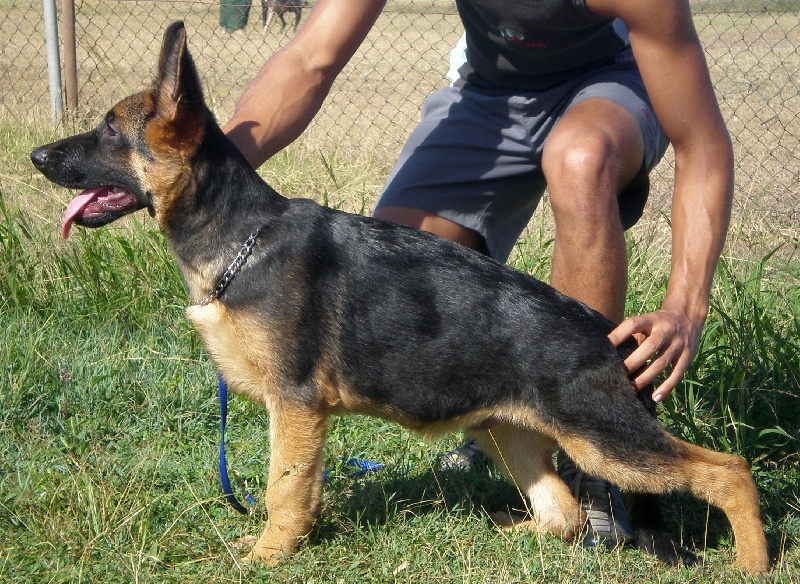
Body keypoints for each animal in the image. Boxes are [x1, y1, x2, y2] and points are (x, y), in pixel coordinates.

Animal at [31, 21, 768, 572]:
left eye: (109, 131)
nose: (37, 156)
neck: (242, 236)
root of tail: (607, 332)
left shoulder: (295, 406)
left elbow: (282, 489)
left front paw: (268, 557)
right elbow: (290, 488)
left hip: (604, 440)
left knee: (727, 471)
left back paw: (752, 563)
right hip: (509, 430)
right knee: (558, 515)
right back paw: (504, 533)